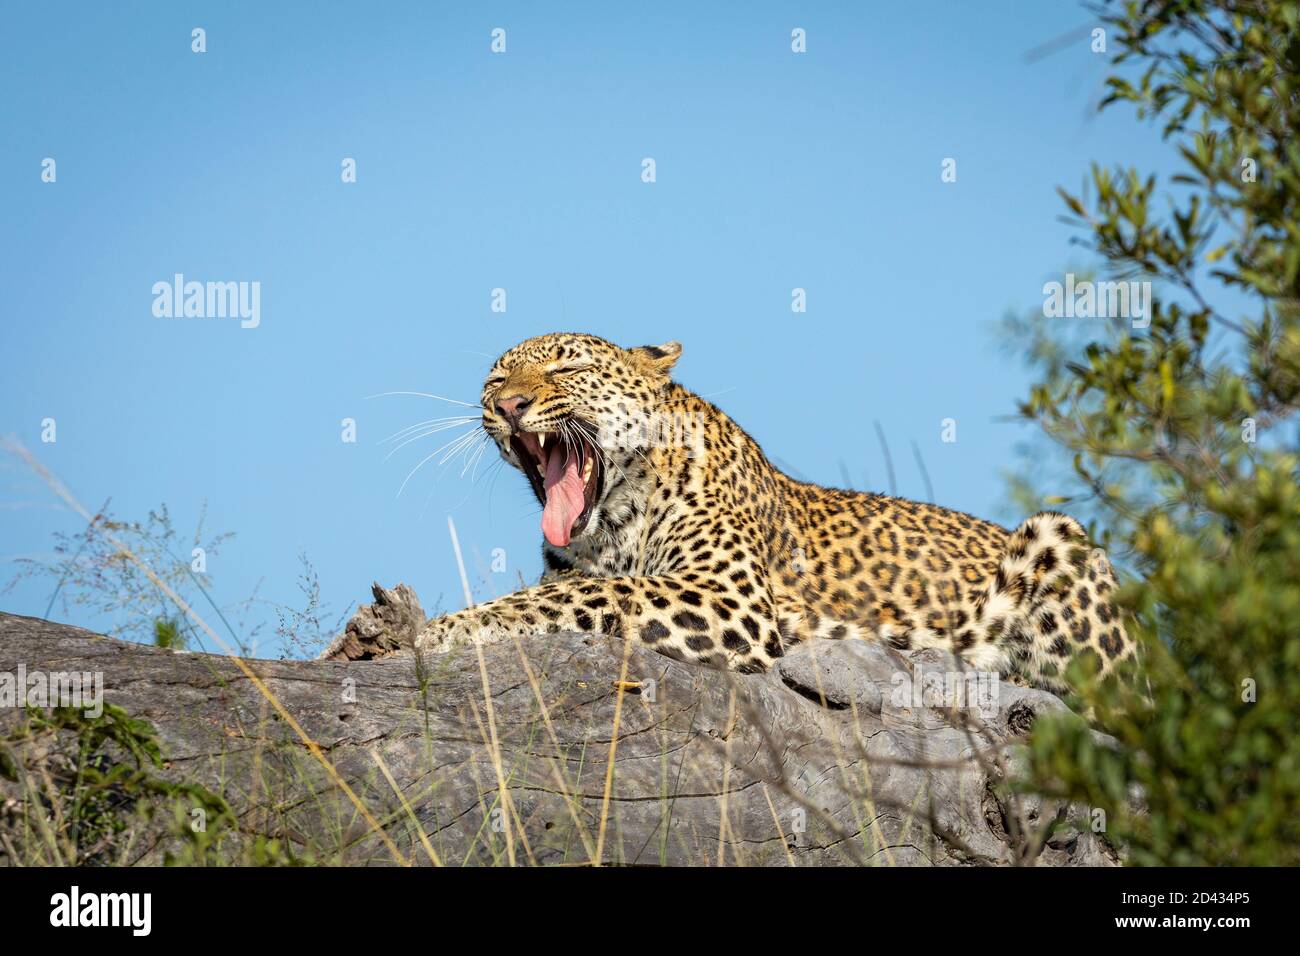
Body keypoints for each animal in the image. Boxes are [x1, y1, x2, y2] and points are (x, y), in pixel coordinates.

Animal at [371, 332, 1133, 691]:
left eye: (564, 370)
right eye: (496, 378)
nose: (508, 405)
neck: (615, 522)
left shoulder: (728, 599)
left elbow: (579, 597)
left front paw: (439, 629)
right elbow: (569, 590)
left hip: (1065, 541)